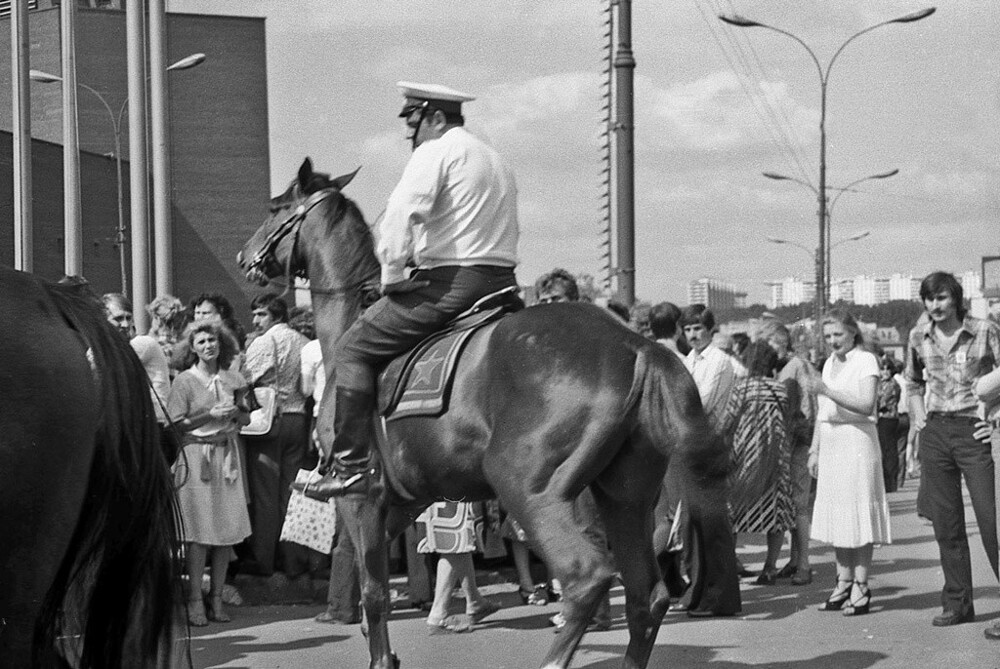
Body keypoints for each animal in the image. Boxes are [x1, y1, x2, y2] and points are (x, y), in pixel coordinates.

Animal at [239, 160, 740, 668]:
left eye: (276, 208)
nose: (245, 256)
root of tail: (634, 345)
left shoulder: (361, 497)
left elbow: (374, 592)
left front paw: (382, 655)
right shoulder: (403, 499)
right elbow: (372, 582)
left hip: (529, 487)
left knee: (586, 577)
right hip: (625, 497)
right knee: (646, 596)